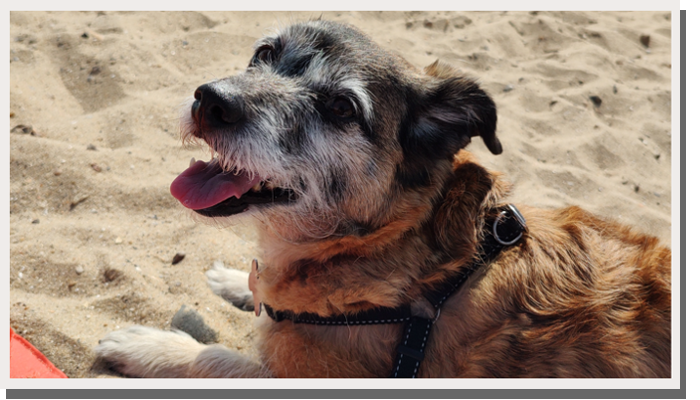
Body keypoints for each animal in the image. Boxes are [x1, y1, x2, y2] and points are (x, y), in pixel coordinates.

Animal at [94, 19, 672, 378]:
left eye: (341, 108)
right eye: (264, 54)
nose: (211, 100)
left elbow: (214, 358)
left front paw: (148, 347)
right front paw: (237, 281)